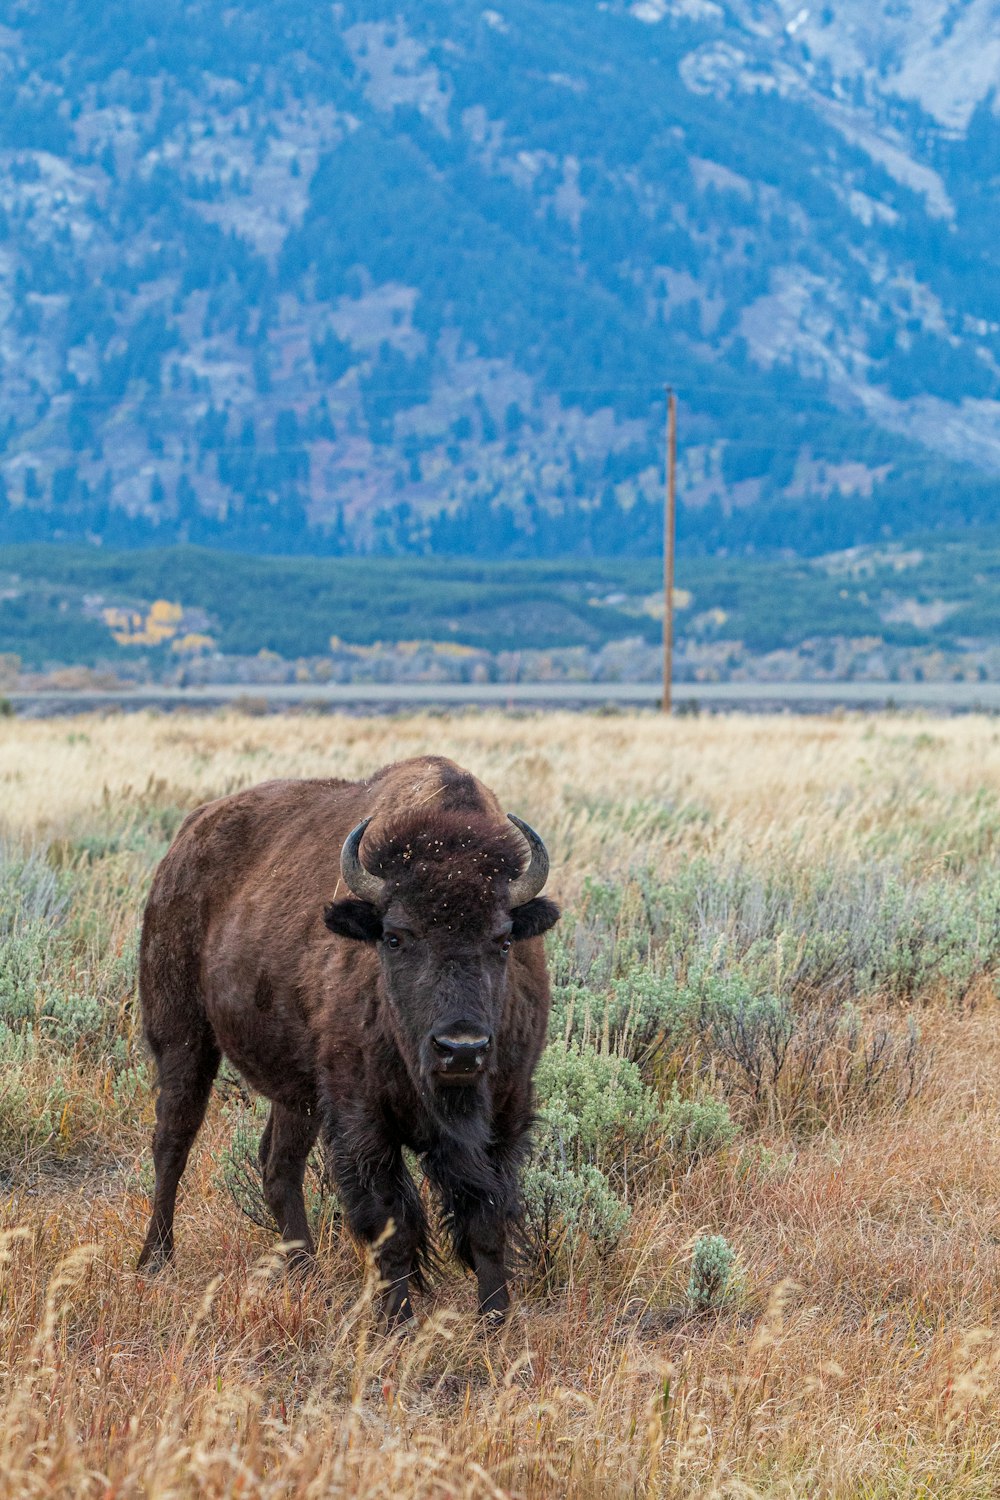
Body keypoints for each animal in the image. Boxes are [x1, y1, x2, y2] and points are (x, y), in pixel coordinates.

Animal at [135, 756, 560, 1320]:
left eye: (504, 939)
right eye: (396, 937)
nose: (461, 1049)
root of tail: (189, 834)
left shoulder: (504, 1116)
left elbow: (487, 1222)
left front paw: (495, 1320)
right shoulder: (362, 1118)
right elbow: (391, 1224)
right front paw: (397, 1322)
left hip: (298, 1089)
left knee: (278, 1164)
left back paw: (305, 1273)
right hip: (183, 1037)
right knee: (173, 1141)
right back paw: (154, 1259)